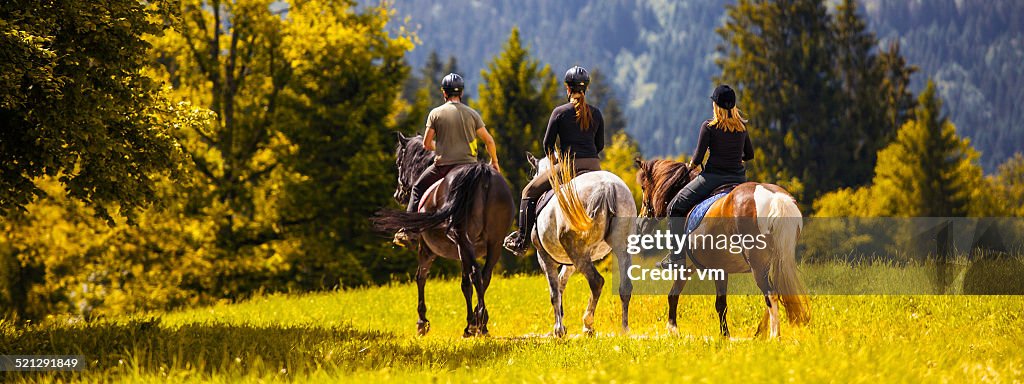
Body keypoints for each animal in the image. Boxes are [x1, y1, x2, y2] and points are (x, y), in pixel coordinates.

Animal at [374, 134, 516, 337]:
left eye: (399, 162)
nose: (397, 195)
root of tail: (482, 174)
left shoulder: (427, 248)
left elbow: (421, 277)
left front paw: (422, 322)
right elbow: (468, 281)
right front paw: (477, 321)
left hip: (464, 240)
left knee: (474, 276)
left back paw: (475, 323)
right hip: (494, 243)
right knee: (484, 275)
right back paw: (481, 323)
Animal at [532, 151, 634, 337]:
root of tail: (606, 187)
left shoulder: (544, 257)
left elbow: (554, 291)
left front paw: (559, 329)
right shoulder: (570, 263)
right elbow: (561, 284)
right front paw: (561, 324)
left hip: (577, 251)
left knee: (596, 281)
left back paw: (588, 324)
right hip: (620, 248)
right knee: (625, 286)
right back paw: (624, 329)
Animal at [630, 157, 806, 337]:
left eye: (643, 187)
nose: (639, 224)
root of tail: (775, 198)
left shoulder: (687, 266)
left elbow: (673, 295)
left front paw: (672, 329)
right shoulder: (720, 269)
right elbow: (721, 304)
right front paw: (724, 335)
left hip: (758, 265)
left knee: (771, 295)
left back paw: (773, 335)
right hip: (776, 261)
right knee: (776, 293)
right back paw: (761, 333)